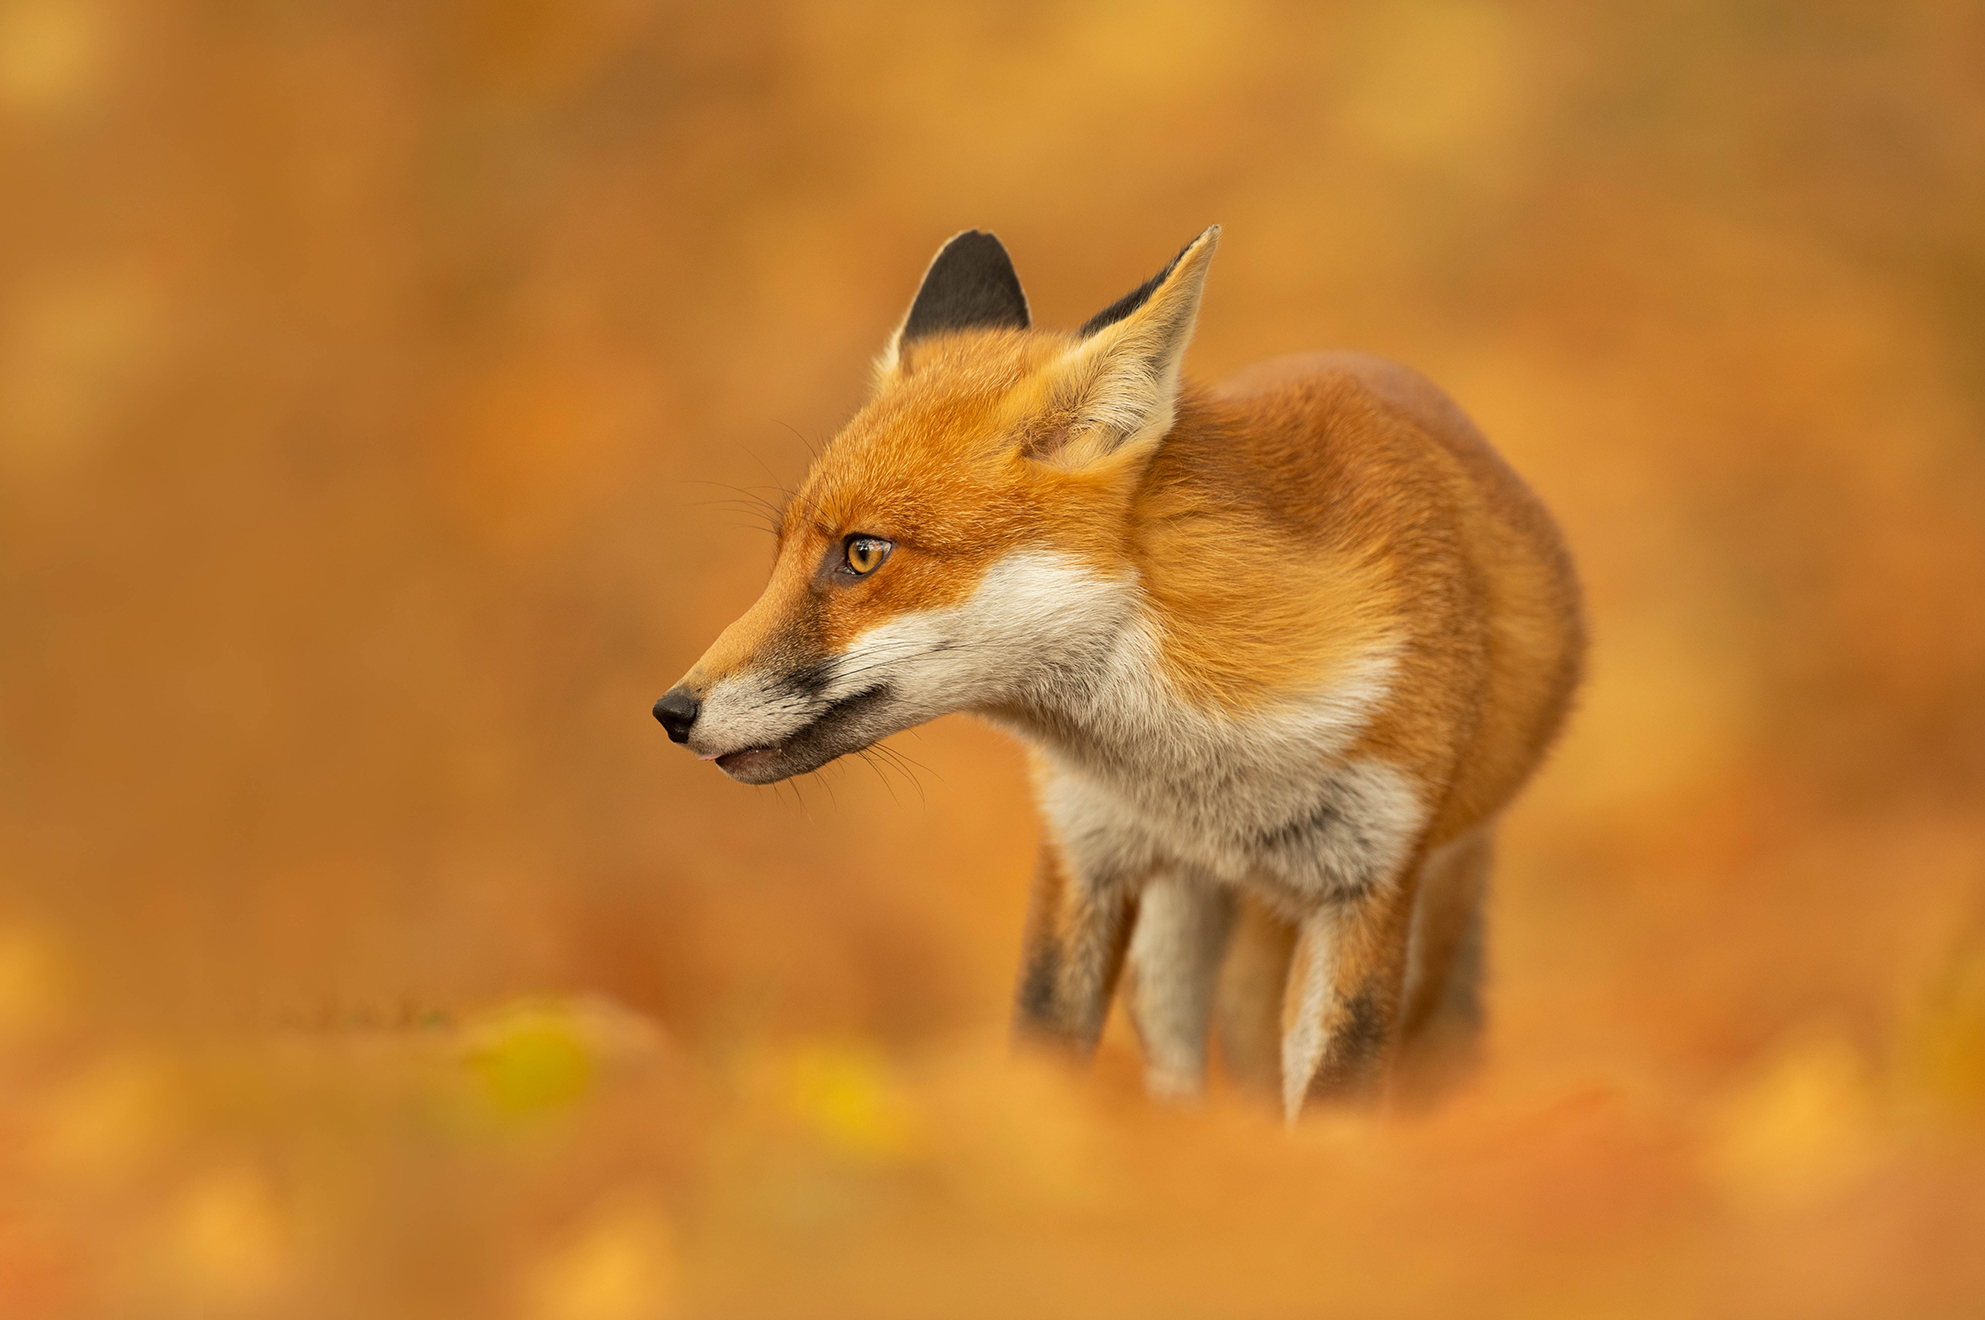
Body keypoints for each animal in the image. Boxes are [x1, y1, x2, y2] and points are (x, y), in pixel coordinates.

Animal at [655, 231, 1580, 1119]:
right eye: (781, 552)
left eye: (861, 554)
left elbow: (1335, 1102)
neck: (1204, 756)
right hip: (1172, 927)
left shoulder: (1371, 882)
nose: (670, 711)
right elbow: (1040, 1058)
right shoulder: (1082, 848)